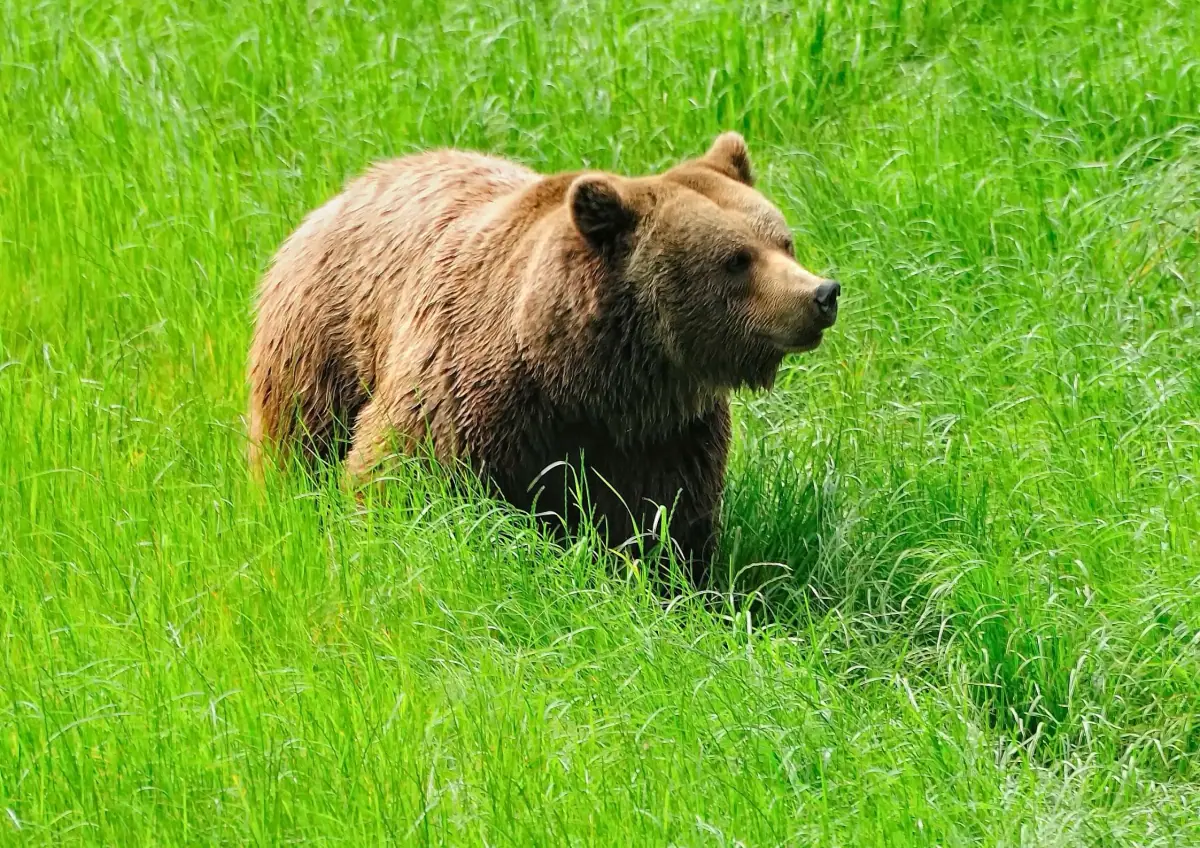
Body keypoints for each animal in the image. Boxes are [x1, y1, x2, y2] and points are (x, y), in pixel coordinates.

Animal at [248, 133, 840, 584]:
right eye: (736, 260)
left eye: (783, 241)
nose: (822, 293)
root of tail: (346, 191)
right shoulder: (466, 393)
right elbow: (404, 475)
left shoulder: (666, 434)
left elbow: (664, 521)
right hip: (323, 340)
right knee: (301, 439)